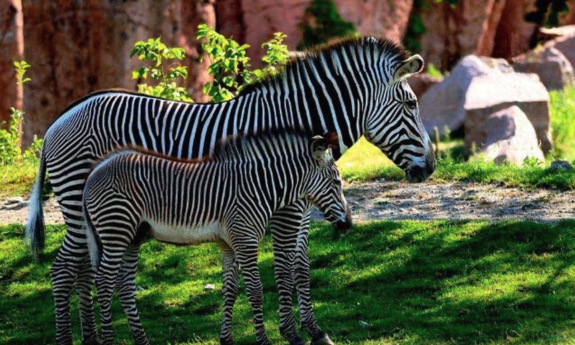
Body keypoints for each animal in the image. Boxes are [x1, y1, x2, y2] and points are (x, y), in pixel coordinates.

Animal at [82, 130, 352, 342]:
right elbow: (255, 291)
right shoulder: (245, 240)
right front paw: (264, 340)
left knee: (124, 285)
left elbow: (229, 290)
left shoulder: (229, 243)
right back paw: (109, 340)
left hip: (133, 237)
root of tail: (93, 173)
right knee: (104, 283)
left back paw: (141, 340)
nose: (348, 224)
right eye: (336, 182)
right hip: (116, 230)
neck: (259, 186)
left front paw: (226, 339)